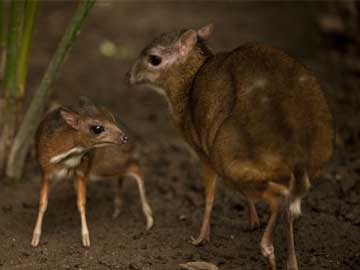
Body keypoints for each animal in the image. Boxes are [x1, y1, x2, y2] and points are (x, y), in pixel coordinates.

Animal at [32, 97, 128, 249]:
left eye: (112, 118)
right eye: (97, 128)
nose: (124, 137)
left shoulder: (81, 171)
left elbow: (81, 203)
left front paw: (86, 238)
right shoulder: (46, 171)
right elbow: (42, 203)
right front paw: (35, 238)